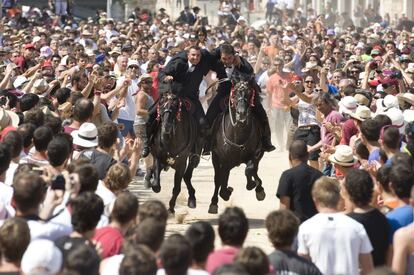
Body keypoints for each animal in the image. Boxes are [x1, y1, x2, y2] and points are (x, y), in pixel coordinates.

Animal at [209, 76, 266, 216]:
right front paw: (225, 193)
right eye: (234, 93)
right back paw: (215, 201)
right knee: (218, 178)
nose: (241, 113)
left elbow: (250, 169)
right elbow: (221, 180)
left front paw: (255, 187)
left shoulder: (256, 153)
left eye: (250, 93)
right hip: (217, 159)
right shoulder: (222, 159)